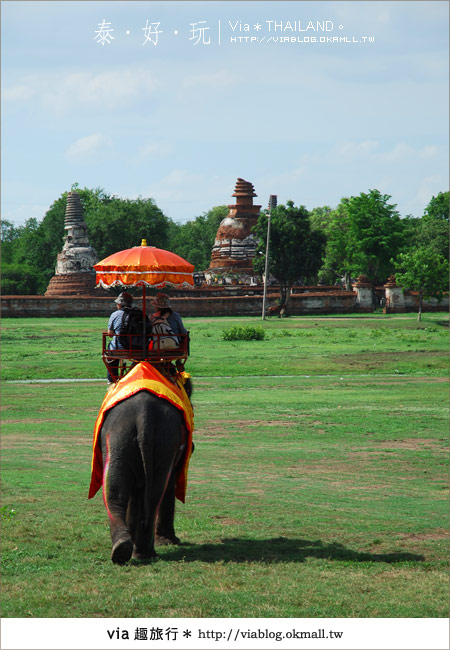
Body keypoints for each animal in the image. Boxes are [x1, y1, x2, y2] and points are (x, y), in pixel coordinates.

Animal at [97, 378, 192, 564]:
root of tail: (143, 414)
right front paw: (171, 541)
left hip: (119, 437)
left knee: (116, 490)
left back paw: (124, 550)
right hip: (163, 441)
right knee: (156, 492)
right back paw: (144, 553)